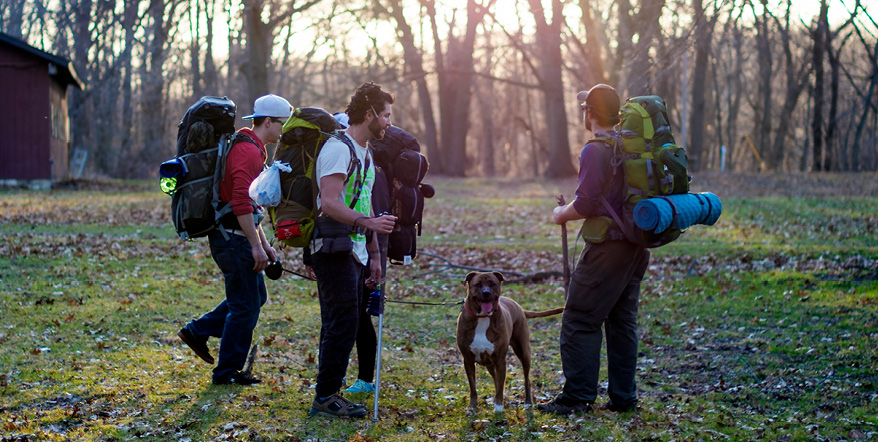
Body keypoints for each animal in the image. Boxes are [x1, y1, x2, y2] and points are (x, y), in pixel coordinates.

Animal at [458, 272, 568, 412]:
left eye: (492, 283)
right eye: (478, 284)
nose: (486, 293)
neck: (482, 317)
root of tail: (518, 306)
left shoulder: (500, 360)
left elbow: (500, 385)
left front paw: (498, 407)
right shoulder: (468, 360)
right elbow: (473, 386)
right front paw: (472, 407)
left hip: (523, 351)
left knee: (526, 380)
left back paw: (527, 403)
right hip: (489, 362)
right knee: (495, 378)